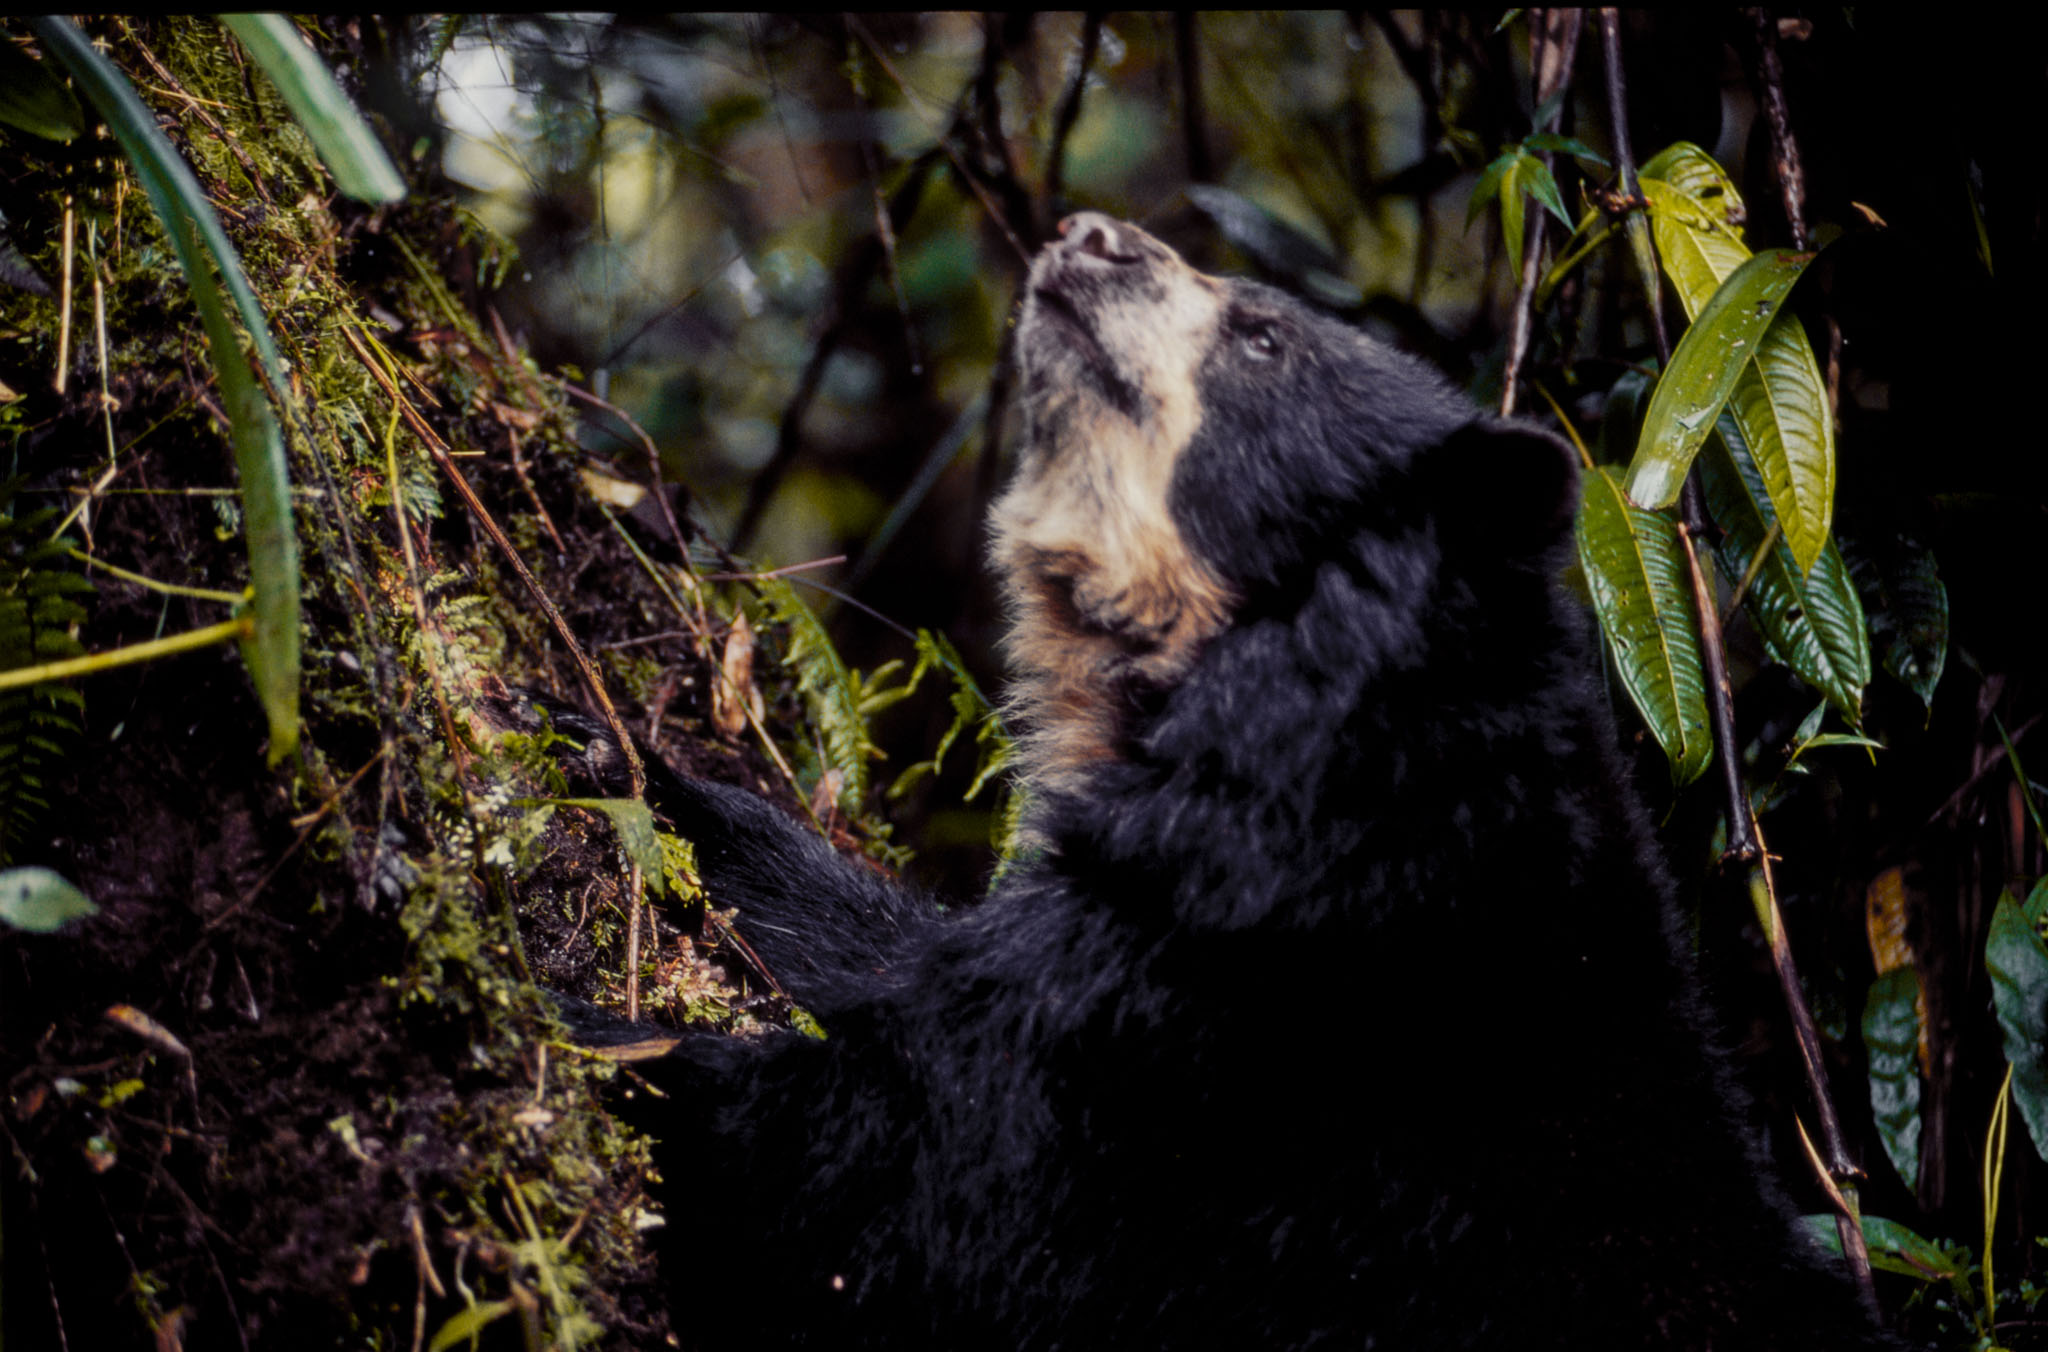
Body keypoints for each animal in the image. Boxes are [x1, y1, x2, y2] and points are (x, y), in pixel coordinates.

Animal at [570, 212, 1900, 1349]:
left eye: (1261, 335)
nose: (1085, 234)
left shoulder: (1228, 1017)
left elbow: (897, 1175)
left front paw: (589, 1036)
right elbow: (893, 955)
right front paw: (620, 756)